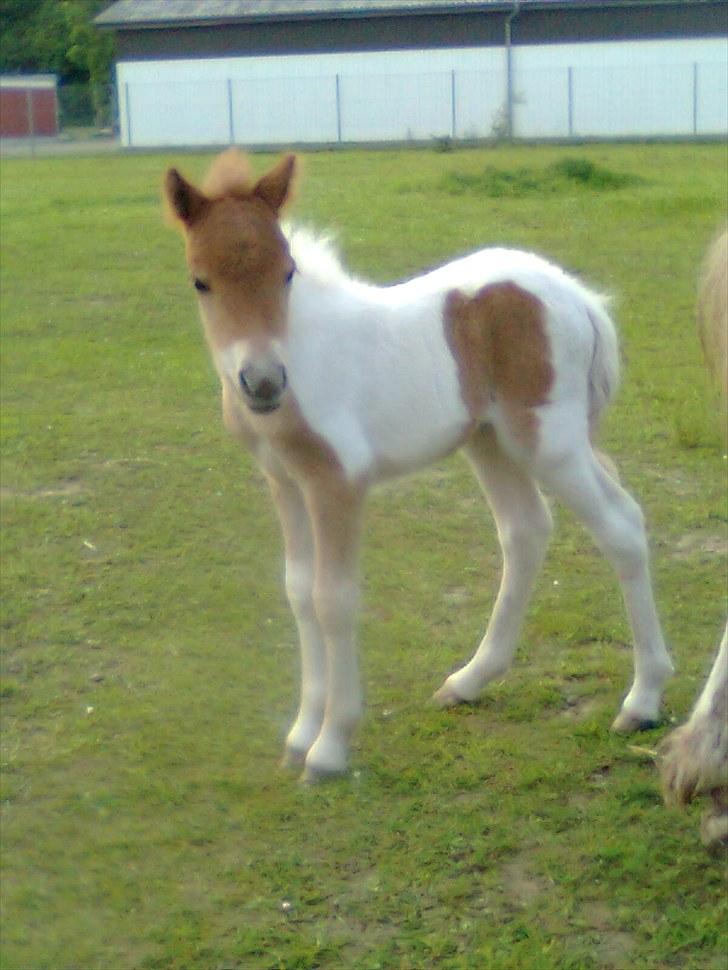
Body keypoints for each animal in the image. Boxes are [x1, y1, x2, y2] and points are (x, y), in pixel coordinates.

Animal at [164, 149, 672, 780]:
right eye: (200, 281)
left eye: (286, 272)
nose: (262, 383)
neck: (300, 355)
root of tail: (576, 295)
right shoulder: (284, 481)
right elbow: (299, 591)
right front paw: (300, 734)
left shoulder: (338, 482)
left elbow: (334, 600)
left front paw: (330, 746)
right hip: (491, 441)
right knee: (526, 530)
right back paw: (469, 681)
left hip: (548, 442)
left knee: (621, 526)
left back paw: (643, 700)